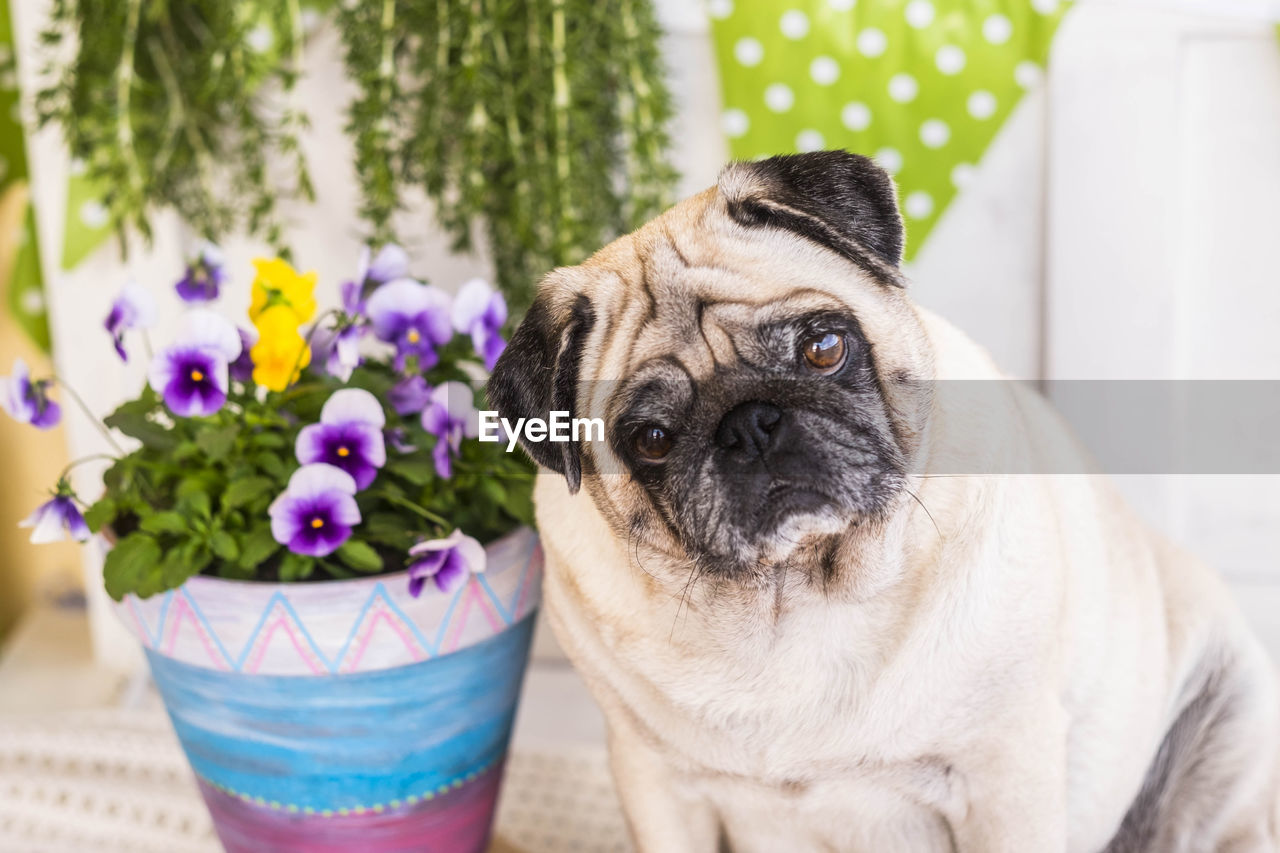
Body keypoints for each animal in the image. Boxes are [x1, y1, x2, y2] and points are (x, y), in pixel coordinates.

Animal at [483, 153, 1274, 850]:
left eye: (825, 347)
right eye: (650, 438)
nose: (749, 424)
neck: (797, 598)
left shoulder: (1004, 773)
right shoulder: (655, 784)